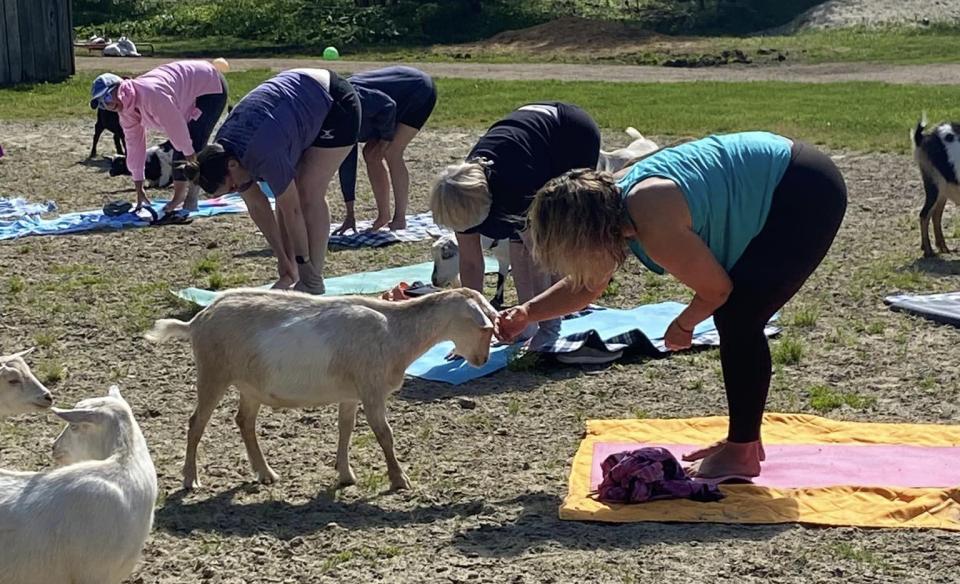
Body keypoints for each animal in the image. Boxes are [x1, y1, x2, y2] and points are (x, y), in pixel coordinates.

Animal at [146, 288, 498, 492]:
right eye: (484, 328)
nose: (481, 360)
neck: (394, 331)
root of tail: (197, 320)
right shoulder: (371, 388)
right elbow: (384, 434)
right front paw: (400, 480)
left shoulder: (351, 393)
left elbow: (346, 429)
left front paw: (345, 475)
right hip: (213, 373)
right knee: (196, 422)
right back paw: (190, 479)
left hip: (250, 385)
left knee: (244, 421)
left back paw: (266, 473)